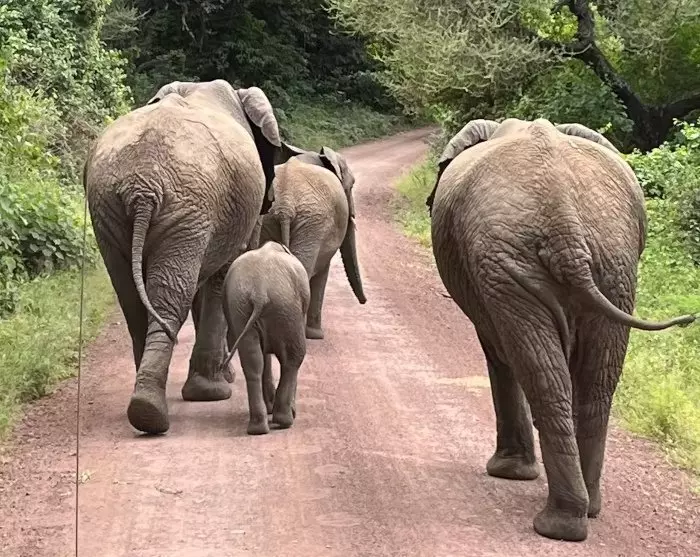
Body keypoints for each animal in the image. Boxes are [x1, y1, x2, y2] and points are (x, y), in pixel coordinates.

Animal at [84, 79, 293, 435]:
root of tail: (141, 185)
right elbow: (223, 277)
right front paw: (215, 389)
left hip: (114, 209)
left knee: (132, 298)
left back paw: (145, 404)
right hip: (184, 206)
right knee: (170, 295)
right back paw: (159, 410)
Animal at [220, 240, 310, 435]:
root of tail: (259, 291)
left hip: (242, 308)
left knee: (253, 361)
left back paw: (258, 428)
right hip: (287, 308)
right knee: (293, 358)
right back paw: (284, 420)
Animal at [260, 144, 366, 339]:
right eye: (352, 185)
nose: (364, 302)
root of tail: (285, 205)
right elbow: (322, 273)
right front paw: (317, 335)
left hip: (273, 220)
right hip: (312, 225)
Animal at [426, 117, 695, 542]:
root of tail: (563, 219)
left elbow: (498, 352)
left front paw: (508, 474)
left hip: (534, 265)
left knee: (546, 376)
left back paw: (558, 525)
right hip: (603, 264)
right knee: (592, 383)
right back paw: (583, 513)